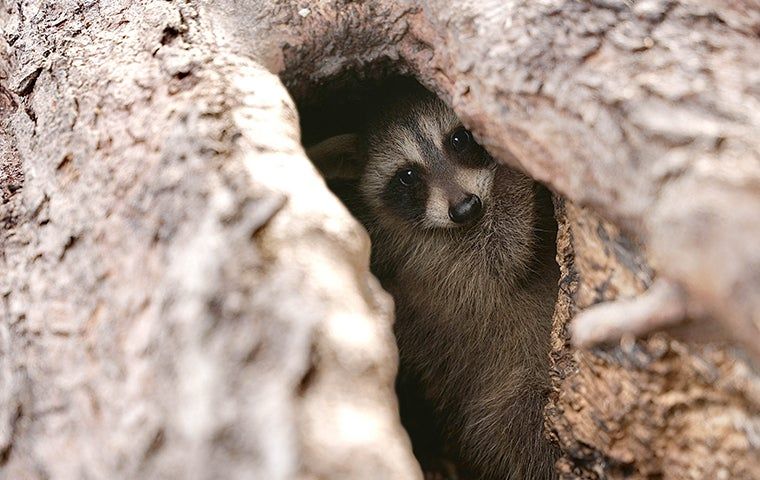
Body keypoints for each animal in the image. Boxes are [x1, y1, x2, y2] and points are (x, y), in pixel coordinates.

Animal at [308, 87, 559, 480]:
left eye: (459, 139)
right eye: (408, 175)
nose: (465, 208)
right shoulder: (433, 265)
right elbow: (500, 254)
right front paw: (510, 174)